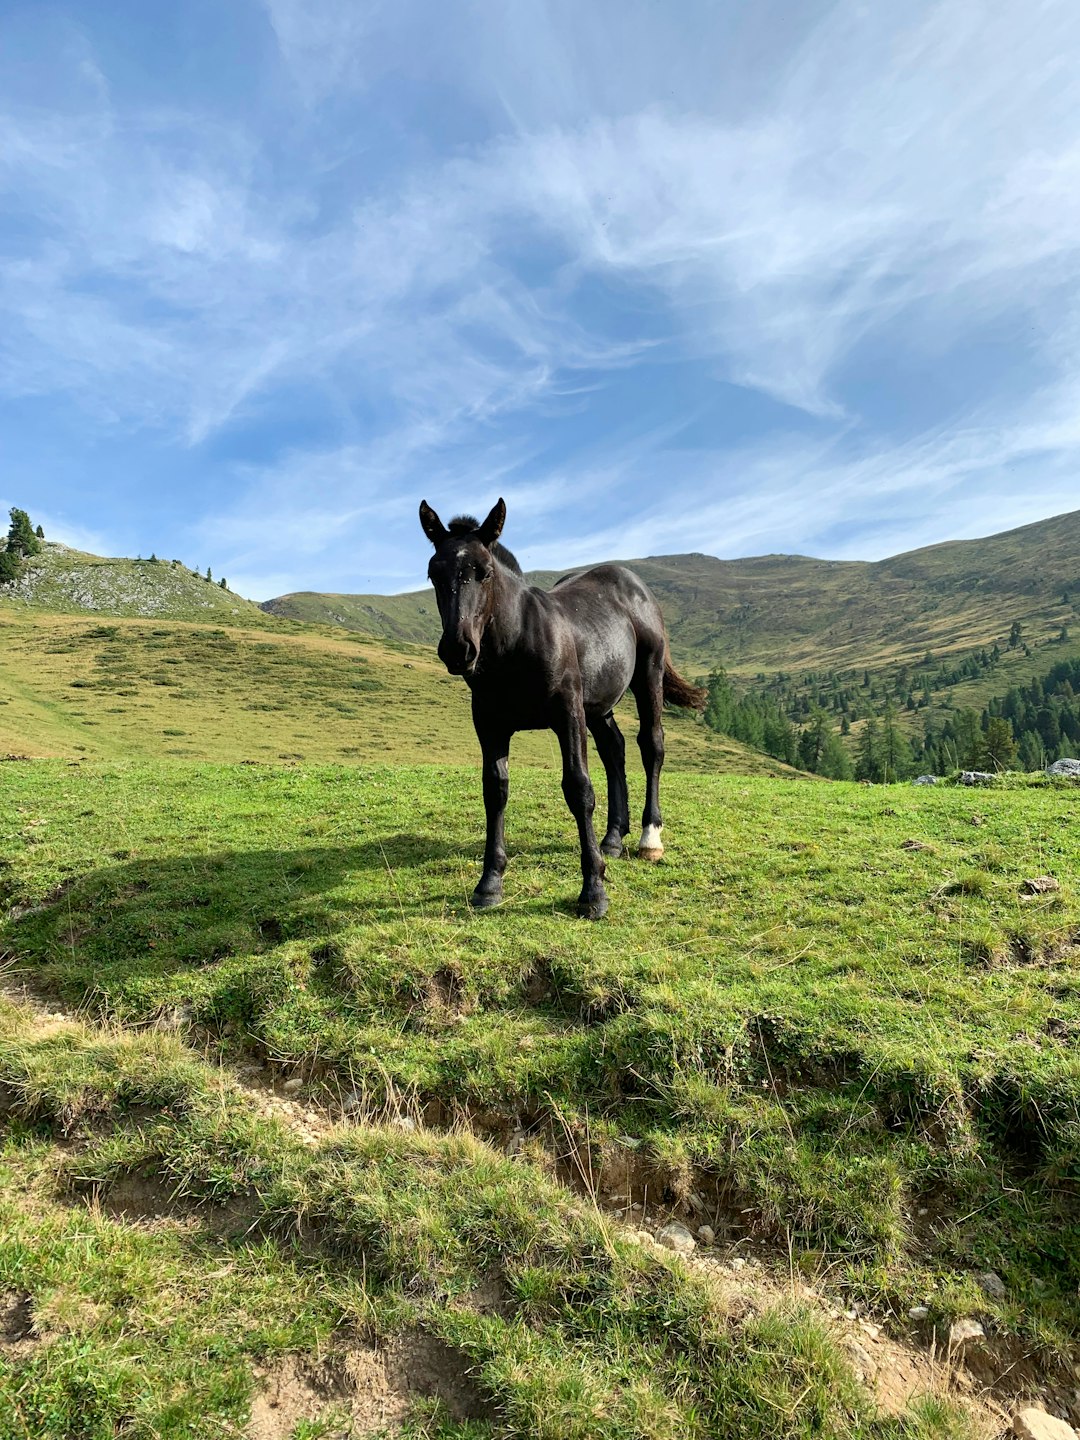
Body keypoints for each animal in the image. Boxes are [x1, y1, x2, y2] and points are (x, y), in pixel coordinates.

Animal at [423, 501, 711, 915]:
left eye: (484, 572)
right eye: (433, 573)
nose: (458, 649)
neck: (515, 644)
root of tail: (632, 582)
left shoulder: (567, 715)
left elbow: (578, 789)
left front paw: (594, 891)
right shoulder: (489, 724)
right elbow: (495, 791)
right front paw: (489, 883)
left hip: (648, 677)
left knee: (651, 745)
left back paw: (649, 838)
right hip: (599, 704)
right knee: (614, 749)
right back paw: (613, 837)